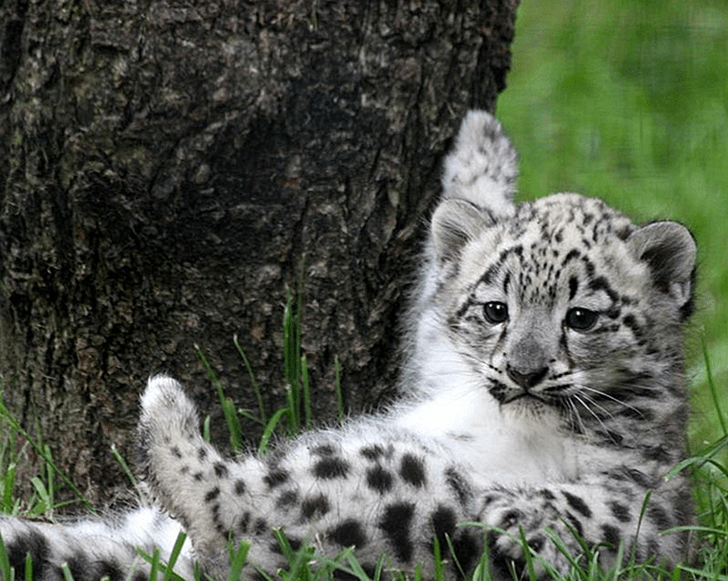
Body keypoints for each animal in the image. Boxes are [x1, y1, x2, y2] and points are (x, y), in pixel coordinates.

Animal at [0, 111, 697, 580]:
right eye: (496, 309)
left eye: (581, 317)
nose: (523, 372)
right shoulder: (436, 362)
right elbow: (431, 296)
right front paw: (481, 144)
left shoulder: (624, 503)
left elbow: (600, 514)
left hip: (398, 491)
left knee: (237, 511)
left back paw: (165, 406)